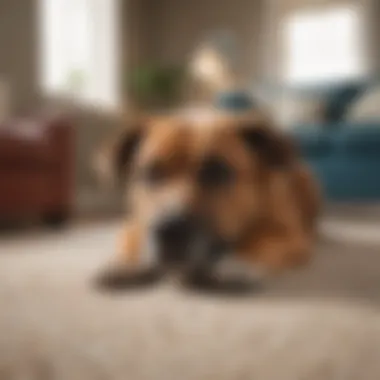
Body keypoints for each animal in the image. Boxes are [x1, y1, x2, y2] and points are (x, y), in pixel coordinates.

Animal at [93, 110, 320, 290]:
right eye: (151, 172)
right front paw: (128, 265)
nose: (171, 230)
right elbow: (133, 242)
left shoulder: (292, 237)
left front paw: (235, 263)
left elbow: (262, 244)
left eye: (217, 172)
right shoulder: (133, 224)